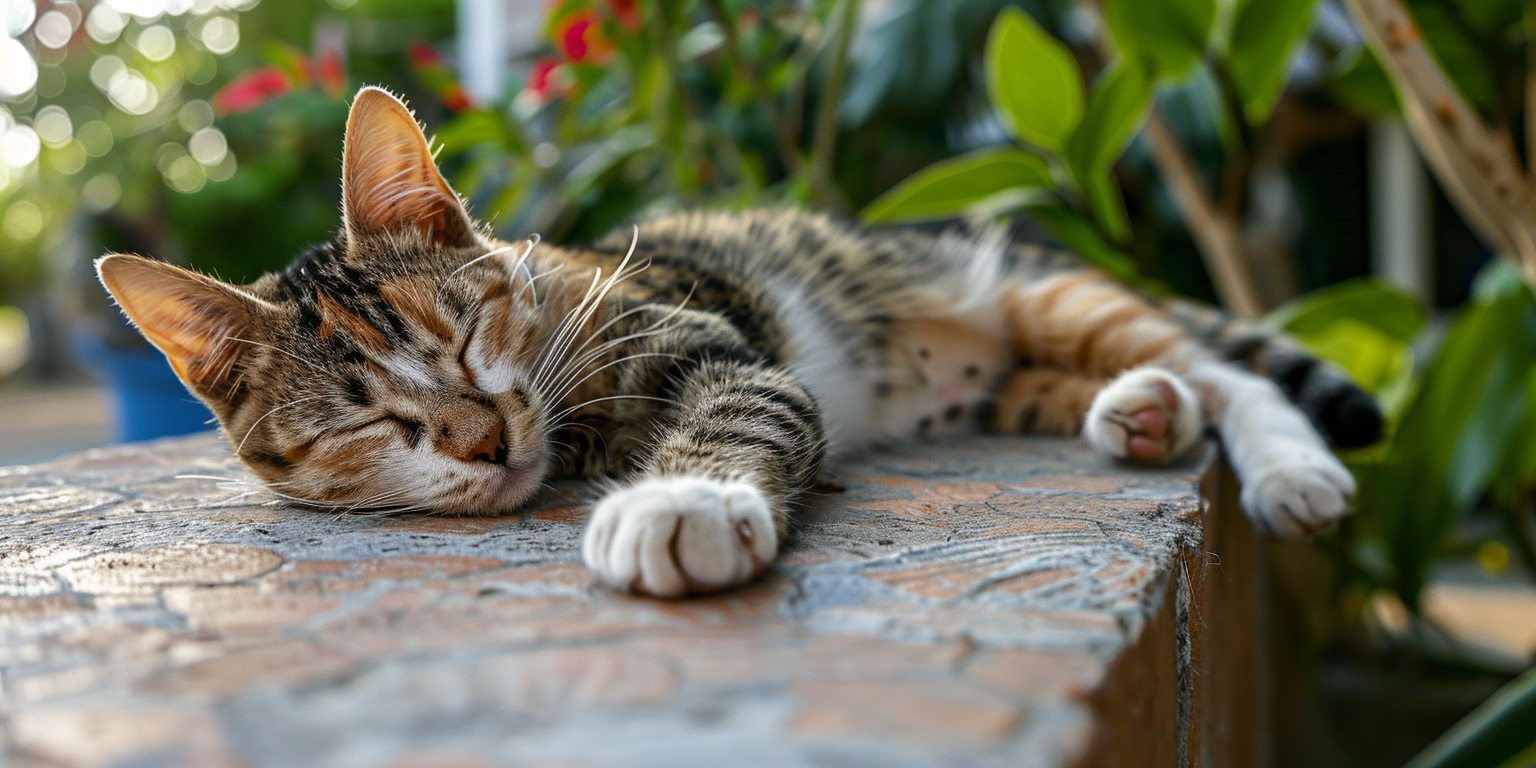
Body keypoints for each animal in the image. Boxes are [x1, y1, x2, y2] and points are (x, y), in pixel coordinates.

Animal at [102, 87, 1388, 595]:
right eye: (366, 417)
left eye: (463, 331)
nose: (483, 439)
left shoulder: (708, 337)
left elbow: (742, 400)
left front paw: (688, 504)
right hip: (996, 377)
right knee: (1115, 383)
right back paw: (1141, 411)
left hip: (1041, 292)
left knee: (1232, 372)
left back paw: (1289, 469)